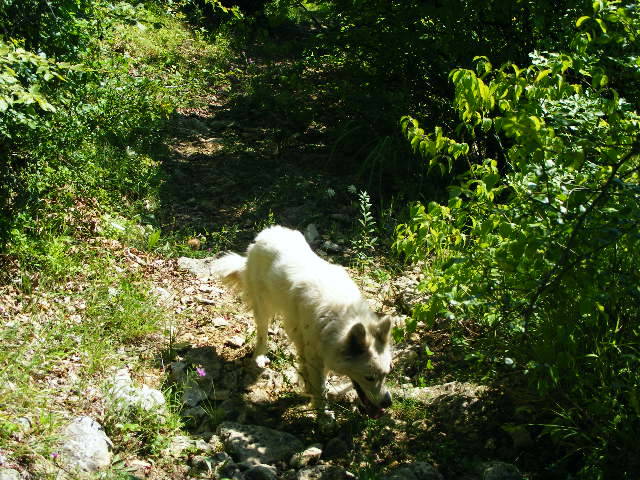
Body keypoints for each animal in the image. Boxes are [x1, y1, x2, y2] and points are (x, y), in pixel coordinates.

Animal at [212, 225, 392, 416]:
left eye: (387, 373)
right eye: (369, 377)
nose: (388, 403)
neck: (339, 317)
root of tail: (264, 233)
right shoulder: (315, 357)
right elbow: (320, 390)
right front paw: (323, 416)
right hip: (263, 307)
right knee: (262, 333)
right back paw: (259, 356)